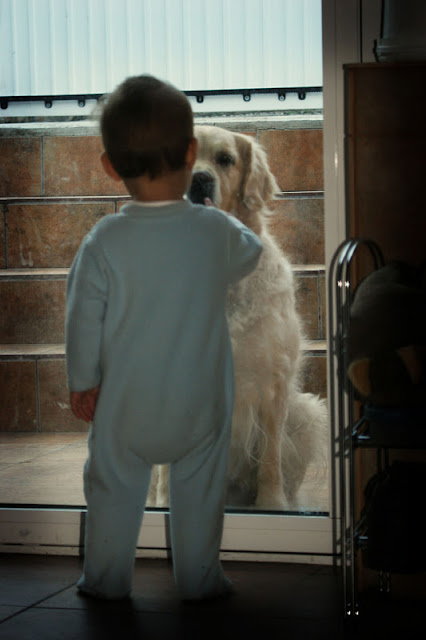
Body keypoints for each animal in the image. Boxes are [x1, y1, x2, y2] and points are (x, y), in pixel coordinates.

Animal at [148, 125, 327, 510]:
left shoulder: (272, 384)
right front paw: (167, 504)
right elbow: (167, 469)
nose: (198, 180)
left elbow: (270, 459)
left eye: (225, 159)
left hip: (303, 410)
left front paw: (272, 505)